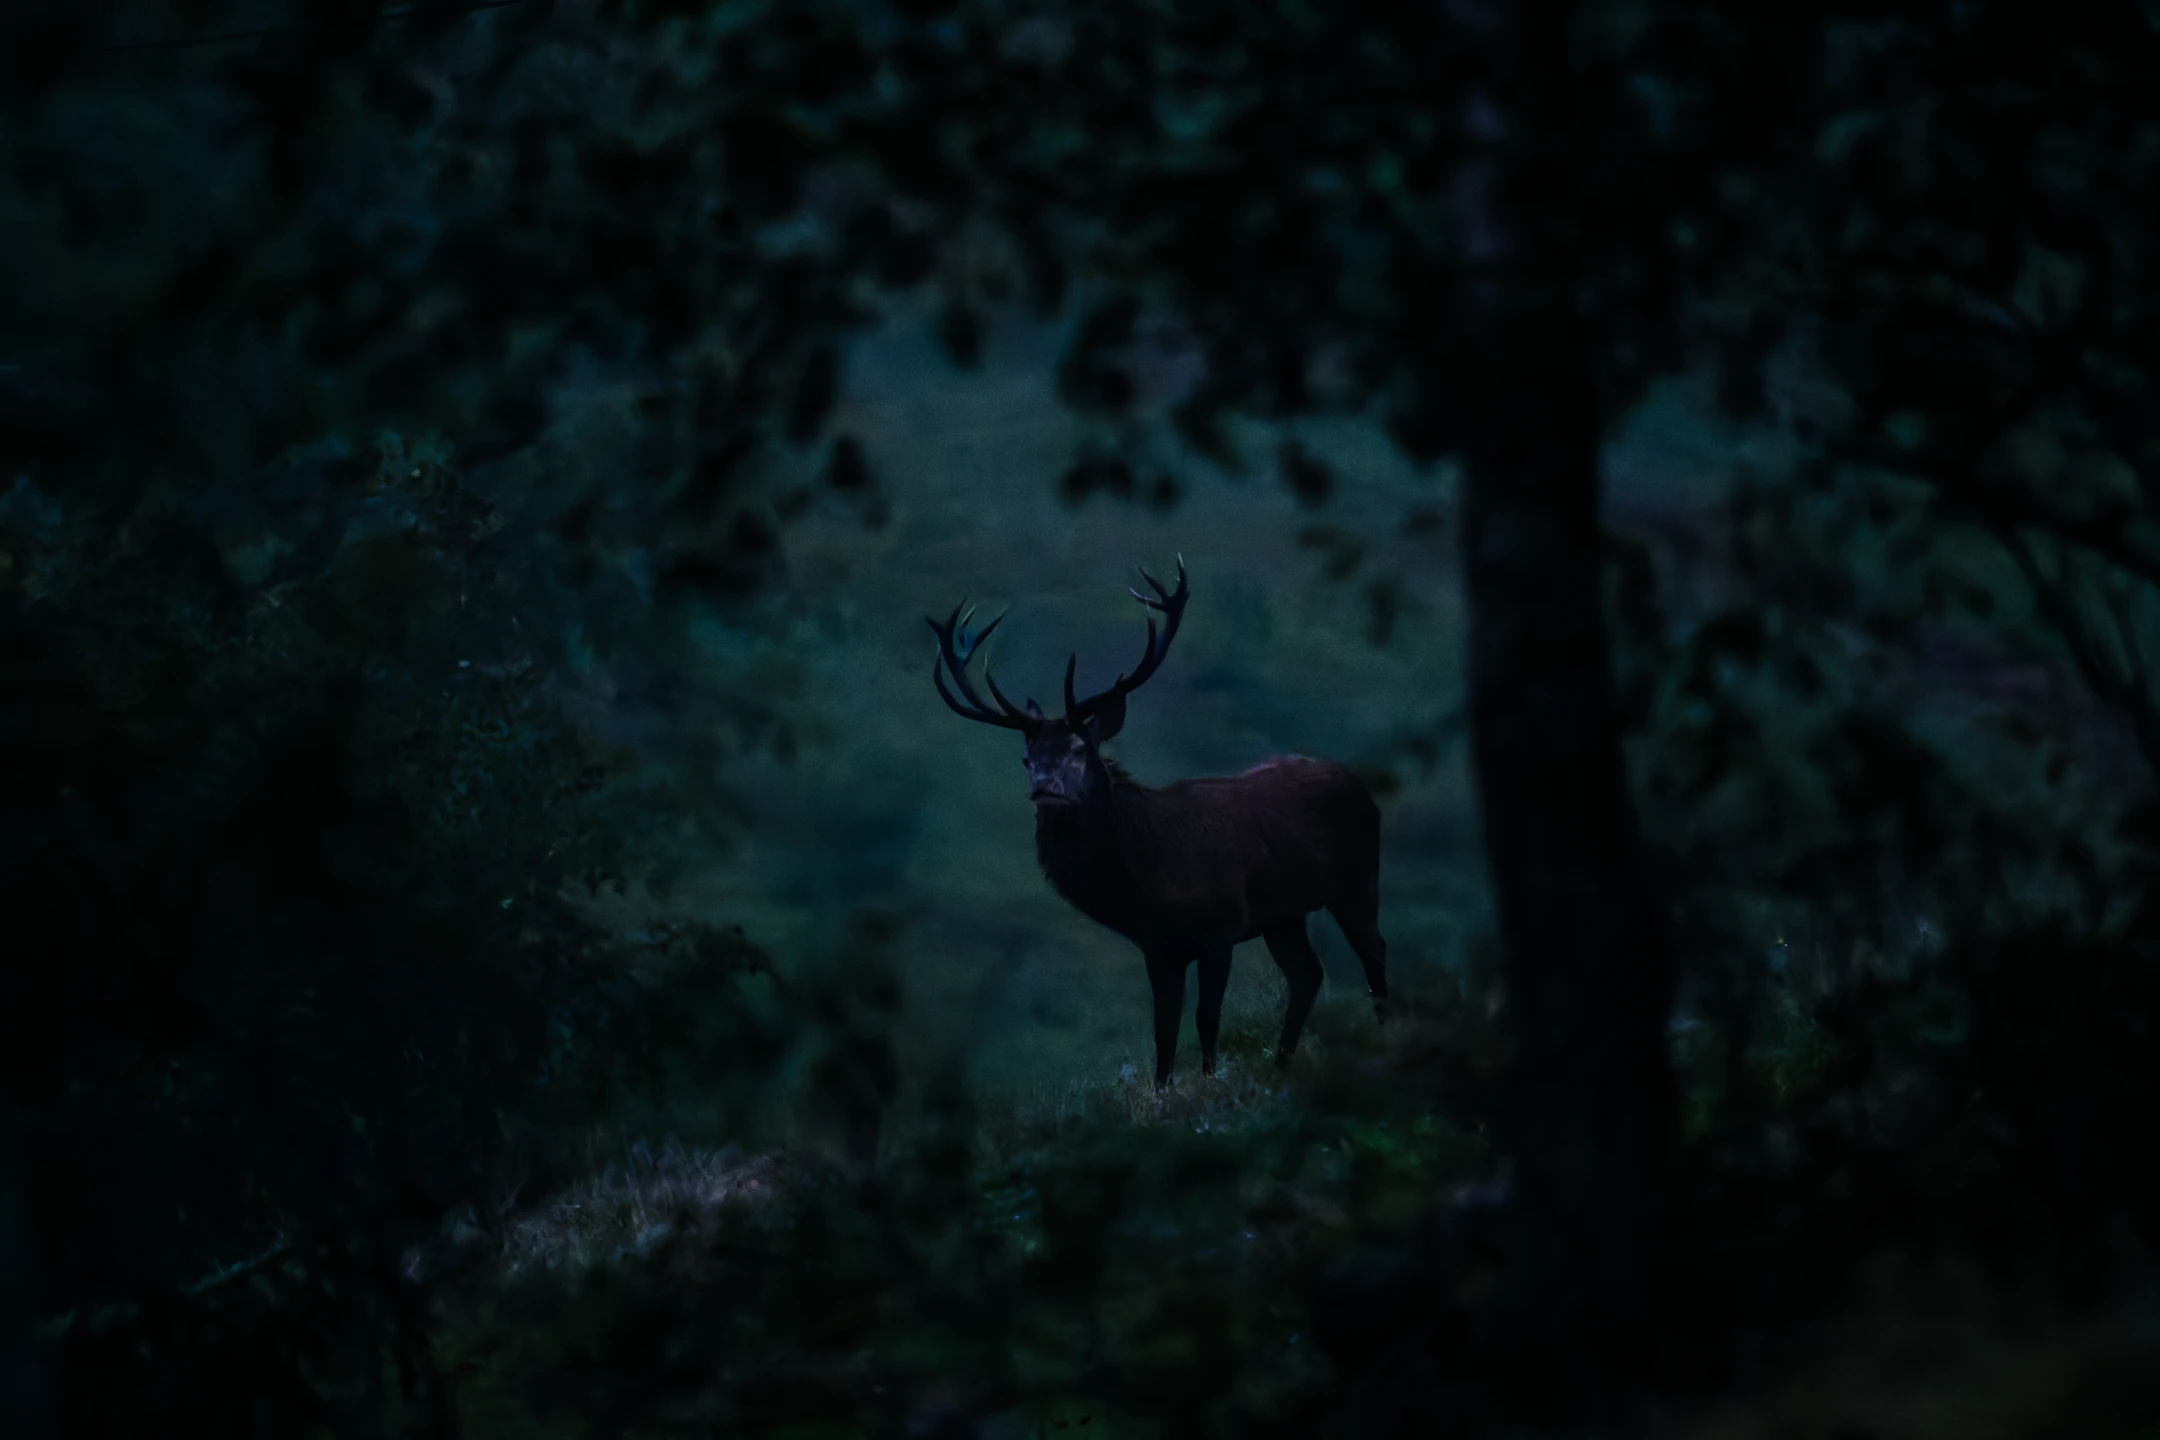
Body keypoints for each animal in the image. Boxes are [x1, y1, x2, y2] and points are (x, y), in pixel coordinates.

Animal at [926, 558, 1389, 1089]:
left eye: (1079, 749)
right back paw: (1281, 1065)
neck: (1151, 876)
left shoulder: (1221, 927)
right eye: (1027, 757)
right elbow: (1163, 1033)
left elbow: (1206, 1020)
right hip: (1284, 914)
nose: (1044, 786)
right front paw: (1166, 1092)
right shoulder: (1158, 947)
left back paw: (1382, 1037)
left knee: (1374, 951)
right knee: (1308, 975)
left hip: (1357, 877)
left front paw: (1210, 1085)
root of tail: (1357, 782)